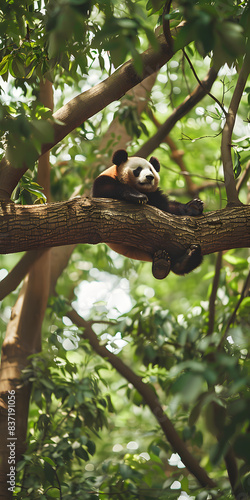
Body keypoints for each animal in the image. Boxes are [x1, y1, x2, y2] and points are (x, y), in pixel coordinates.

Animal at [92, 150, 203, 280]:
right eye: (138, 169)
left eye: (151, 170)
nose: (150, 177)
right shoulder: (103, 182)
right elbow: (107, 189)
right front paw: (137, 196)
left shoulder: (154, 195)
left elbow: (167, 207)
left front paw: (194, 207)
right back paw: (162, 264)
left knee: (181, 265)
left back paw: (177, 259)